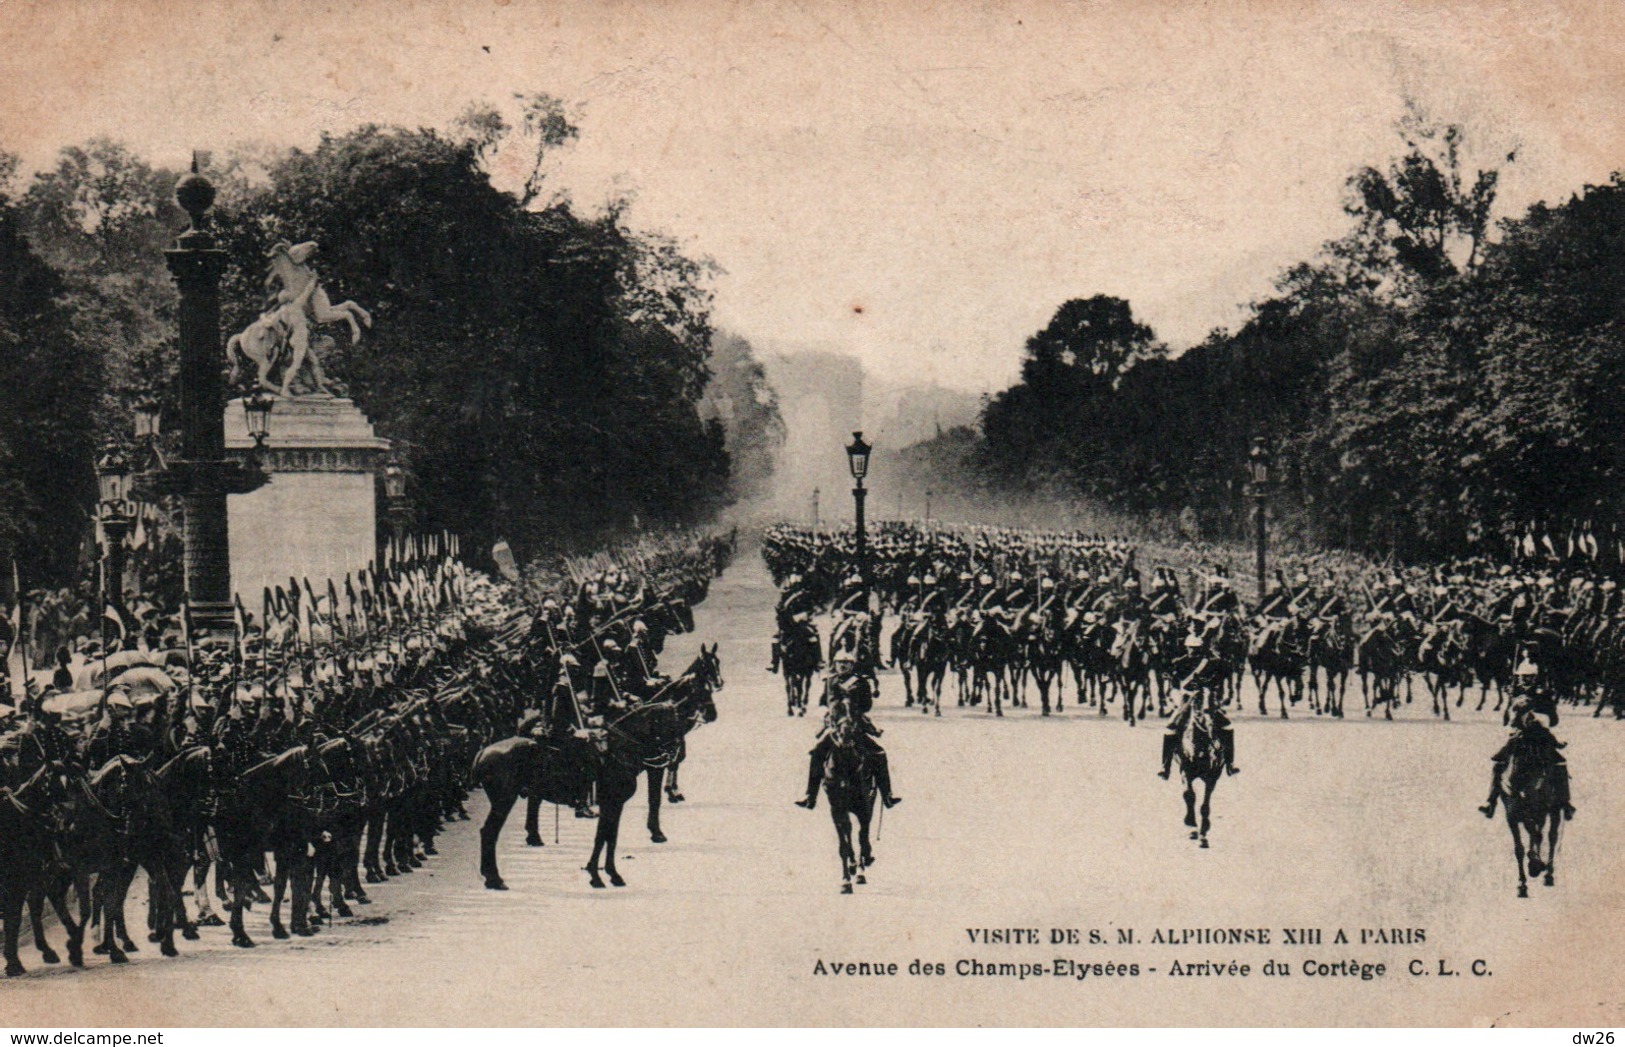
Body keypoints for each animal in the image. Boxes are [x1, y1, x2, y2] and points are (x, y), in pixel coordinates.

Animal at [474, 647, 721, 890]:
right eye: (700, 691)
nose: (712, 715)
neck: (623, 745)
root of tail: (483, 752)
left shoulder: (618, 800)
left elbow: (610, 835)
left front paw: (608, 873)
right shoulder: (619, 795)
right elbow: (610, 831)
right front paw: (601, 873)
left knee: (525, 808)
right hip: (504, 800)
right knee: (489, 831)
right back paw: (495, 878)